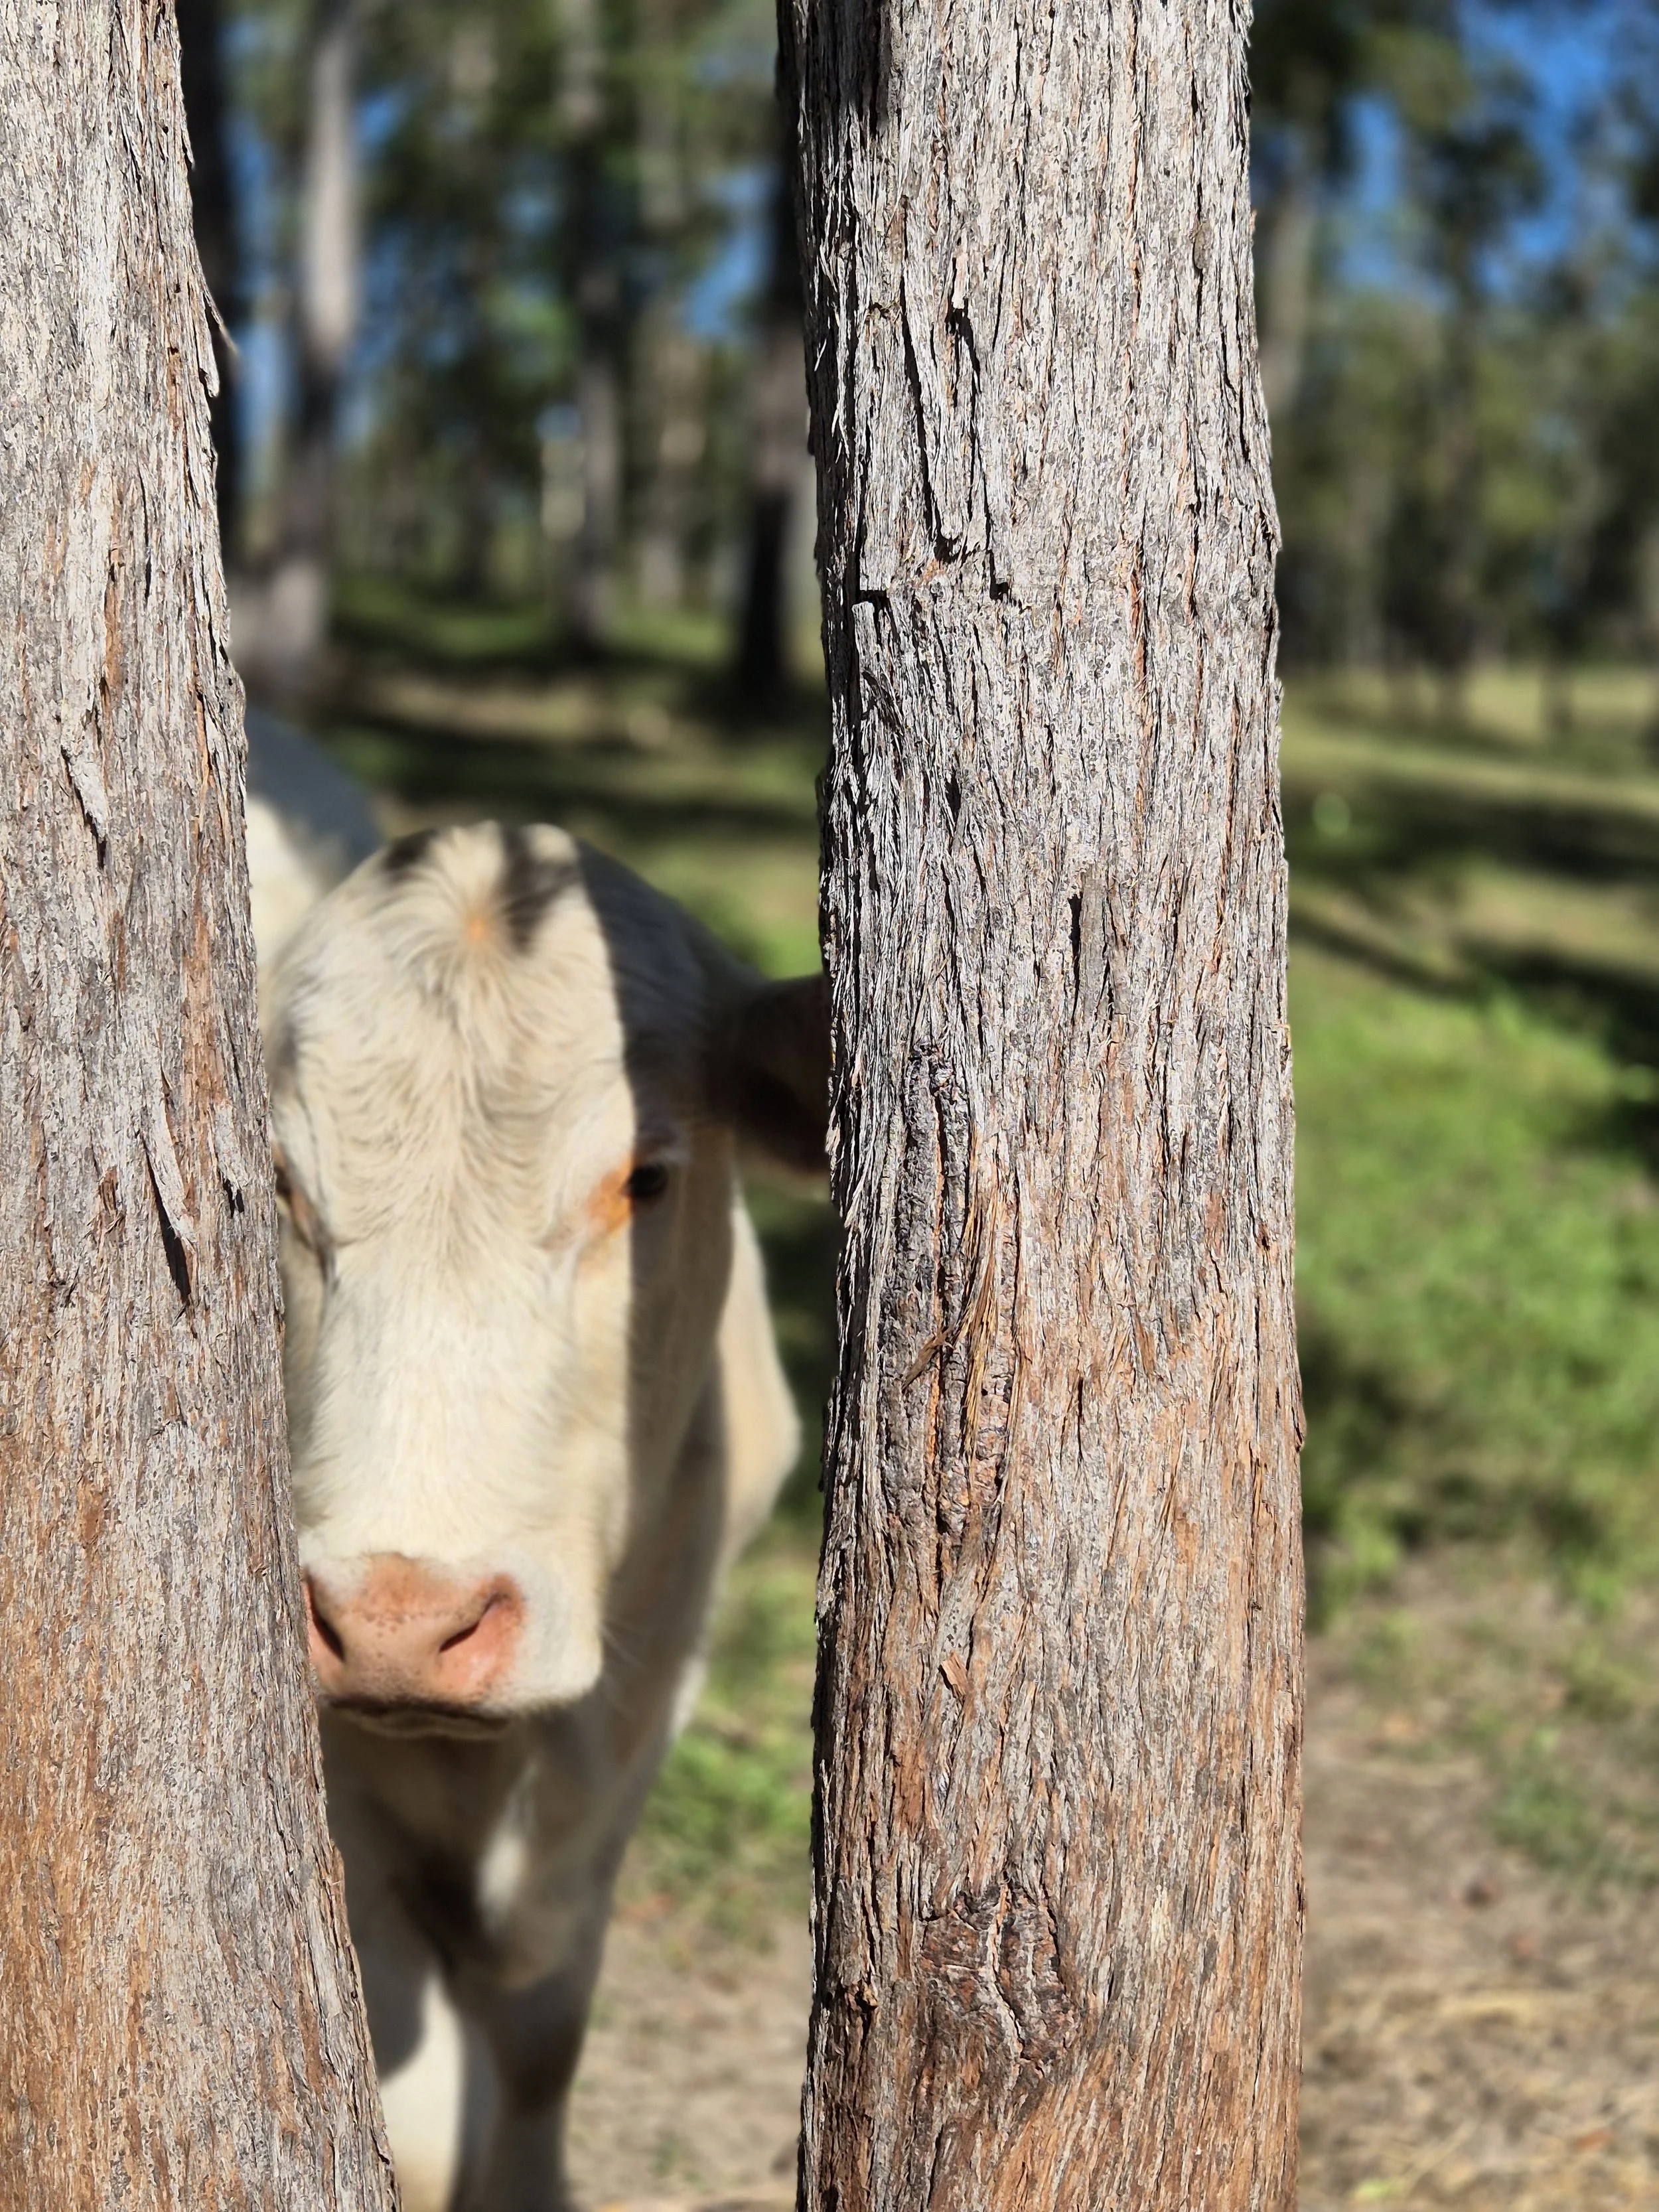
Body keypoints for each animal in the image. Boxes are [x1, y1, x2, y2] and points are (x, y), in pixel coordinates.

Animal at [256, 805, 824, 2210]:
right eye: (279, 1178)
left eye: (648, 1177)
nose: (402, 1621)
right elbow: (415, 2114)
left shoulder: (646, 1689)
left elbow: (539, 2035)